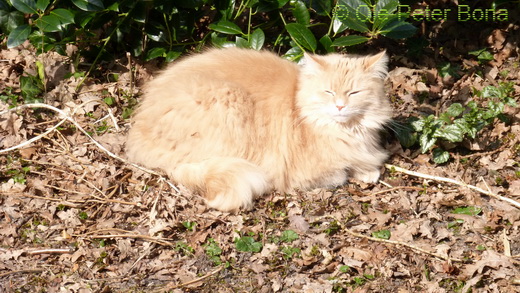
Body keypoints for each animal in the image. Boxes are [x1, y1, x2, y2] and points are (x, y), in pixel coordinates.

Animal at [128, 48, 392, 211]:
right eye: (328, 91)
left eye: (354, 93)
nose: (339, 106)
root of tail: (137, 132)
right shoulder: (303, 173)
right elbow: (341, 173)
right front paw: (359, 171)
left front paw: (367, 169)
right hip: (228, 102)